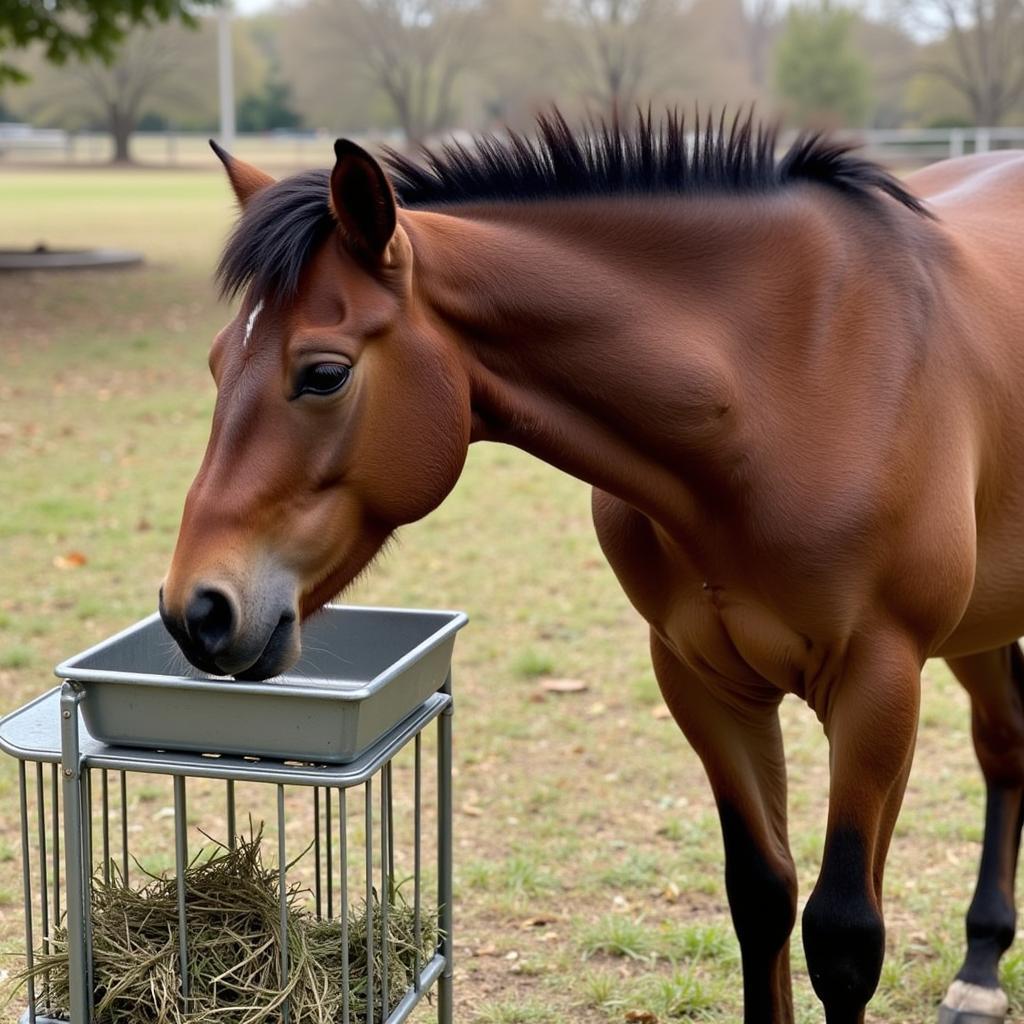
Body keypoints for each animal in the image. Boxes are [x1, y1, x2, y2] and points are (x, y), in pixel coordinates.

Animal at [159, 112, 1024, 1024]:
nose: (198, 609)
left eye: (324, 373)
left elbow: (845, 937)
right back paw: (981, 961)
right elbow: (762, 896)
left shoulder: (879, 686)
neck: (796, 380)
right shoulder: (703, 682)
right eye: (217, 363)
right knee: (1006, 744)